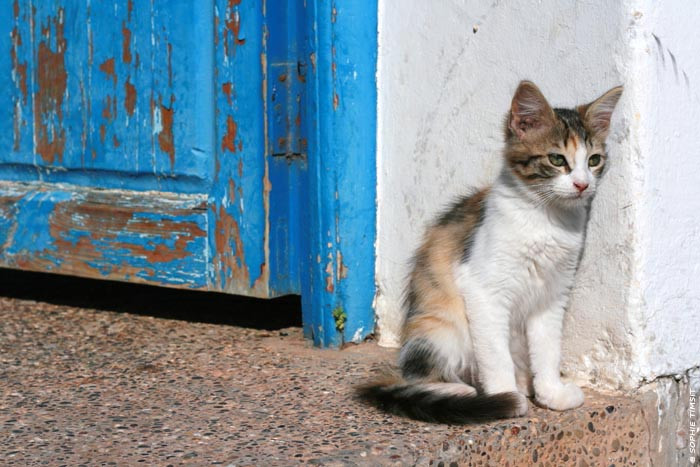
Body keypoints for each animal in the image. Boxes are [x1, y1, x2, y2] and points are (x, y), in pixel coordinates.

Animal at [360, 80, 624, 424]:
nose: (582, 185)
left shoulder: (552, 295)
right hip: (440, 325)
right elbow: (496, 356)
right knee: (420, 374)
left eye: (593, 160)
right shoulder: (483, 289)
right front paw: (505, 397)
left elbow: (548, 350)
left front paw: (551, 393)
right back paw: (461, 391)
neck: (547, 218)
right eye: (556, 159)